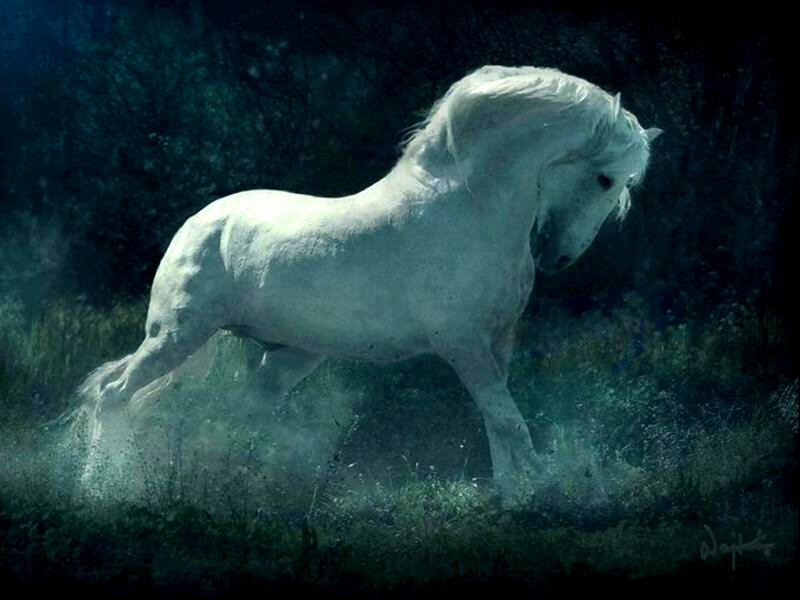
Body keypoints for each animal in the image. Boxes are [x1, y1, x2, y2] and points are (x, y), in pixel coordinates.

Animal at [74, 65, 661, 507]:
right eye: (606, 179)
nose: (557, 256)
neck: (470, 207)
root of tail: (201, 221)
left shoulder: (497, 344)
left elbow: (498, 423)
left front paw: (514, 499)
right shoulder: (462, 344)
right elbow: (510, 422)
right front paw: (544, 493)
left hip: (287, 356)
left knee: (241, 415)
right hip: (177, 334)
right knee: (113, 395)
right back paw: (98, 486)